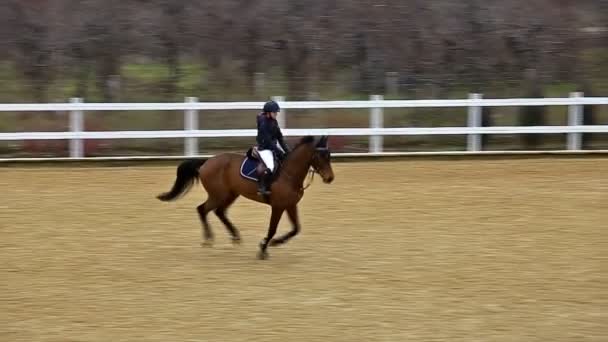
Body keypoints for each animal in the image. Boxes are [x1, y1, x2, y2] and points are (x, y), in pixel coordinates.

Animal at [154, 135, 334, 258]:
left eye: (329, 156)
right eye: (320, 156)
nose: (330, 178)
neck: (289, 174)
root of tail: (206, 162)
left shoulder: (290, 205)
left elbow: (296, 229)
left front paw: (276, 242)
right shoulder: (277, 206)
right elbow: (273, 228)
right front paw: (263, 248)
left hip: (230, 194)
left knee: (219, 212)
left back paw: (235, 236)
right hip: (218, 195)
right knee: (202, 209)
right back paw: (209, 238)